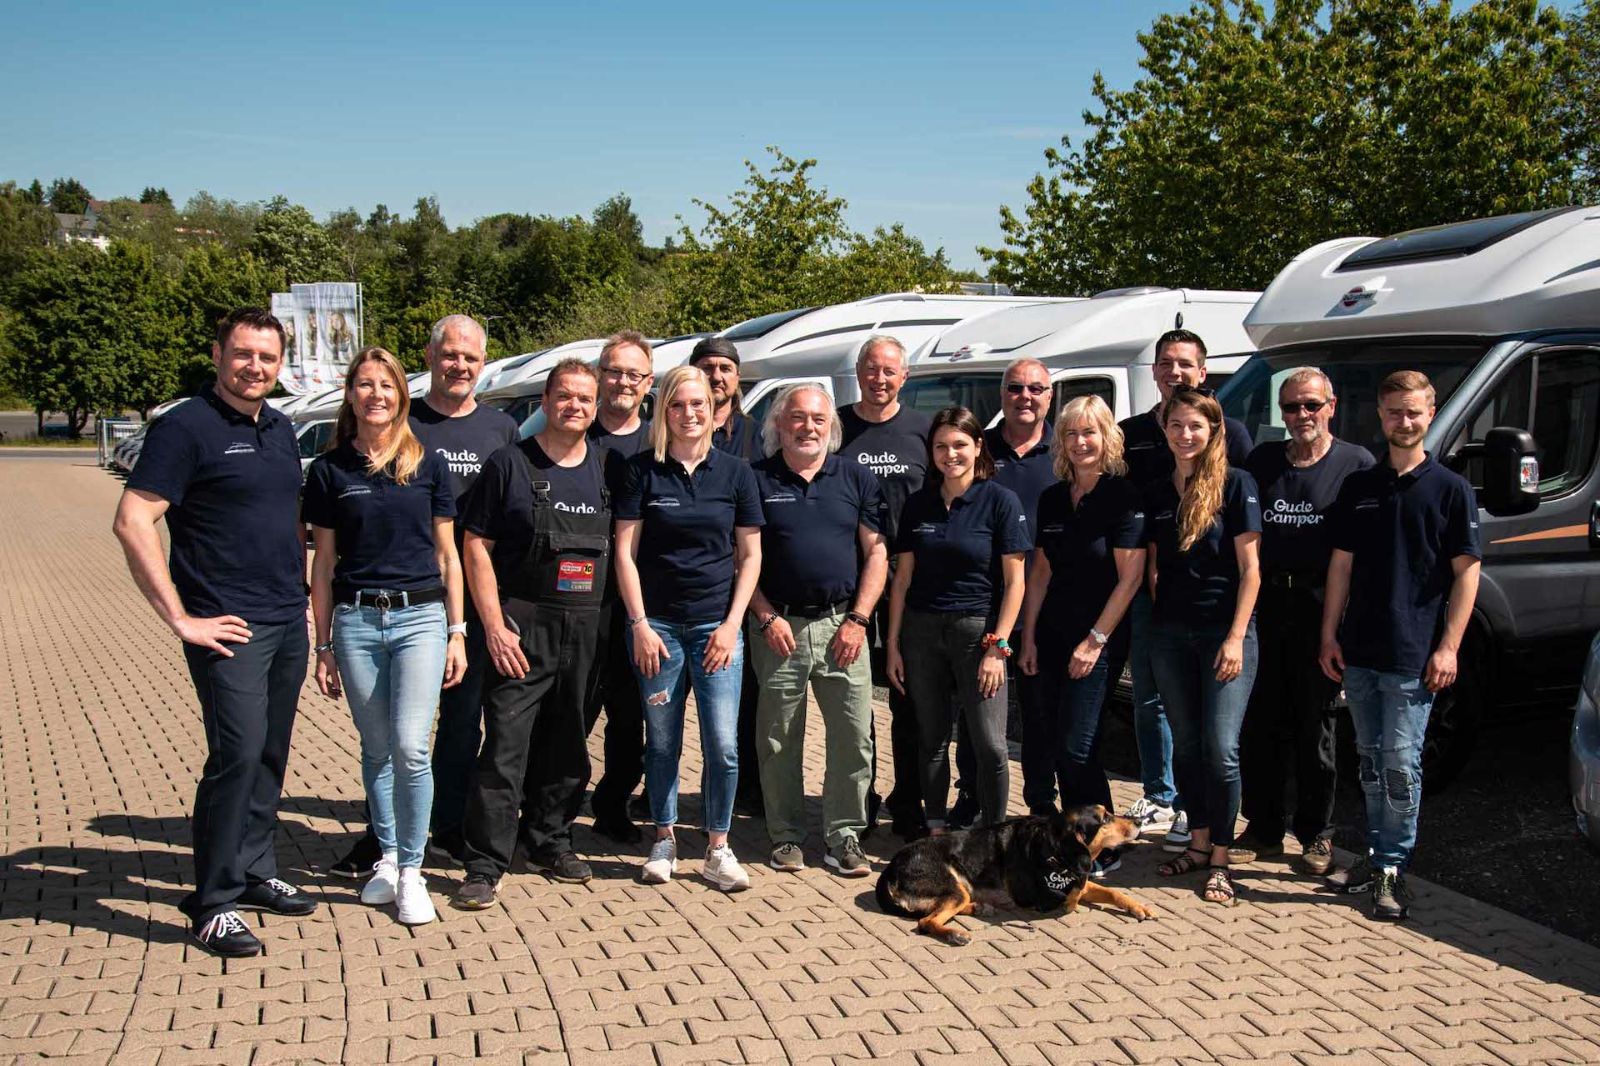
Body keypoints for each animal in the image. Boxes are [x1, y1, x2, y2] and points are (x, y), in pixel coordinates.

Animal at [876, 800, 1152, 941]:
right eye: (1105, 819)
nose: (1139, 821)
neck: (1052, 849)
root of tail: (889, 869)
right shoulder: (1040, 899)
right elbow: (1073, 895)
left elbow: (1110, 891)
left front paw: (1139, 907)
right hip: (952, 886)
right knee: (926, 921)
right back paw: (955, 933)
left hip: (959, 890)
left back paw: (979, 908)